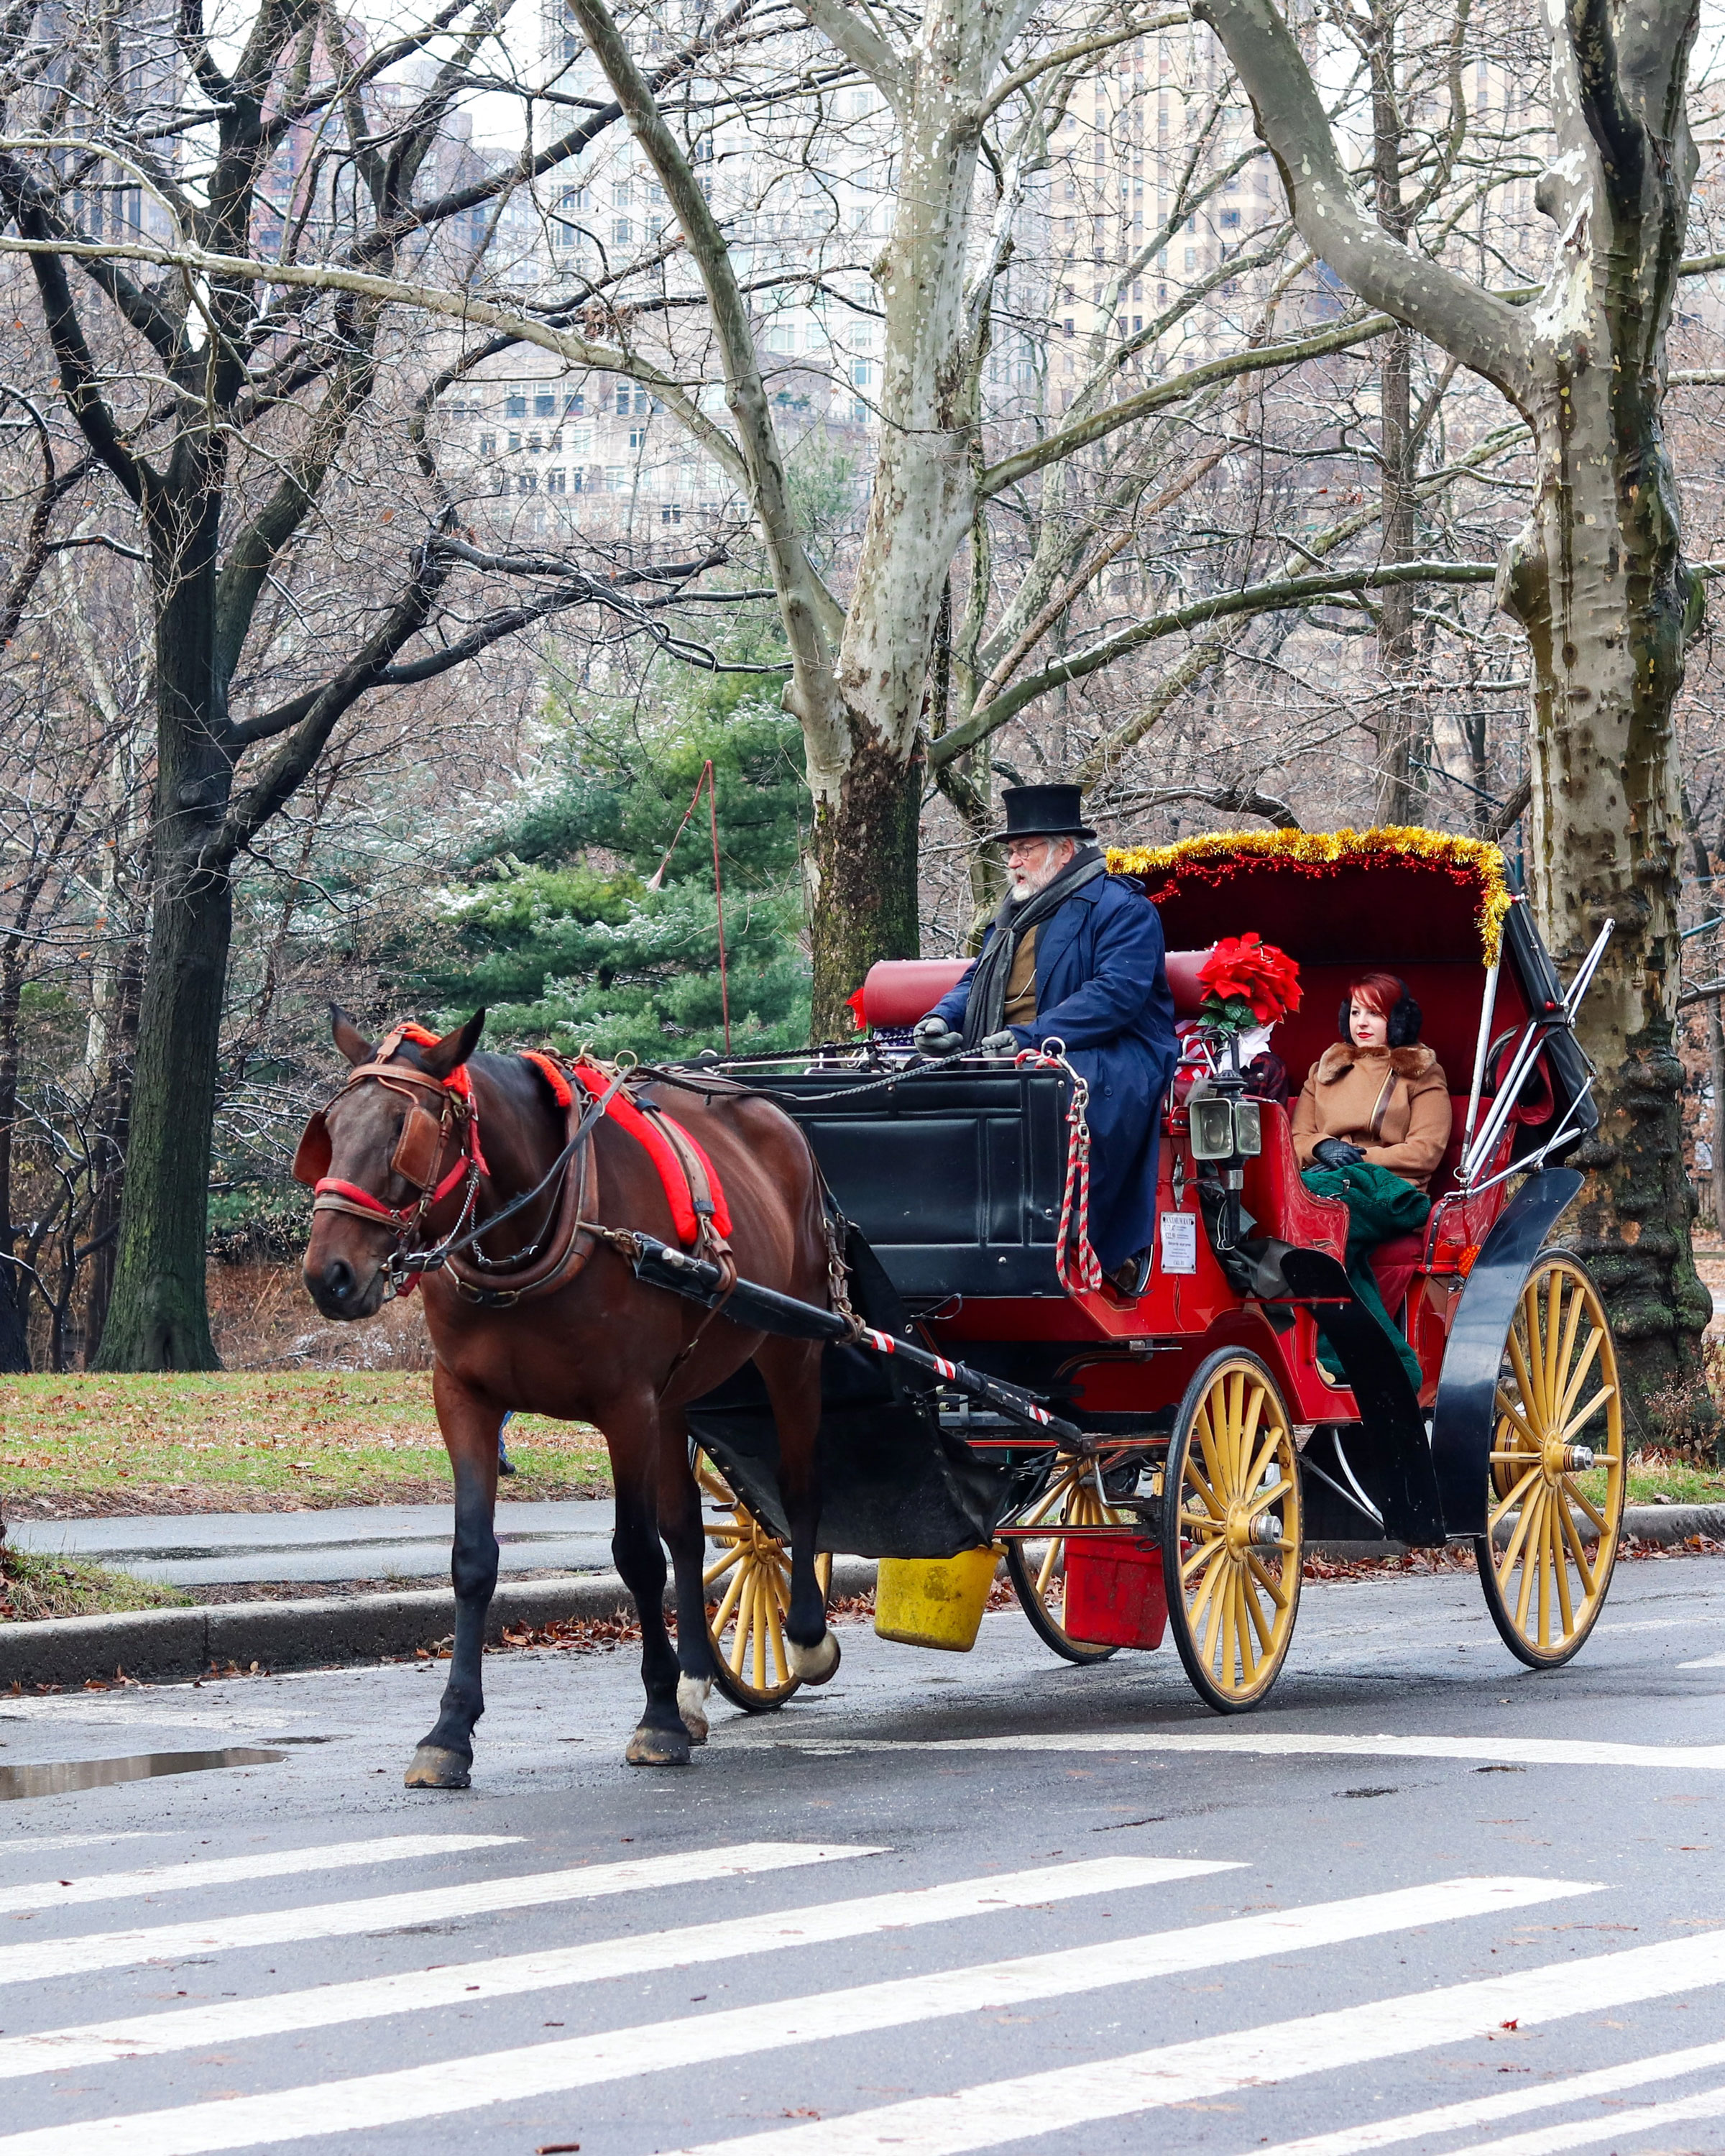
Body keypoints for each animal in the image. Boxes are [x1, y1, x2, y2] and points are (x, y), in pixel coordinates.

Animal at [298, 1004, 841, 1768]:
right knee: (689, 1530)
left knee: (795, 1492)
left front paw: (657, 1718)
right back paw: (696, 1680)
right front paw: (449, 1730)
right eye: (331, 1129)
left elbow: (637, 1555)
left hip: (793, 1346)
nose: (329, 1275)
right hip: (676, 1396)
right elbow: (473, 1558)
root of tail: (772, 1109)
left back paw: (804, 1636)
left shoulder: (626, 1406)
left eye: (404, 1133)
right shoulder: (465, 1399)